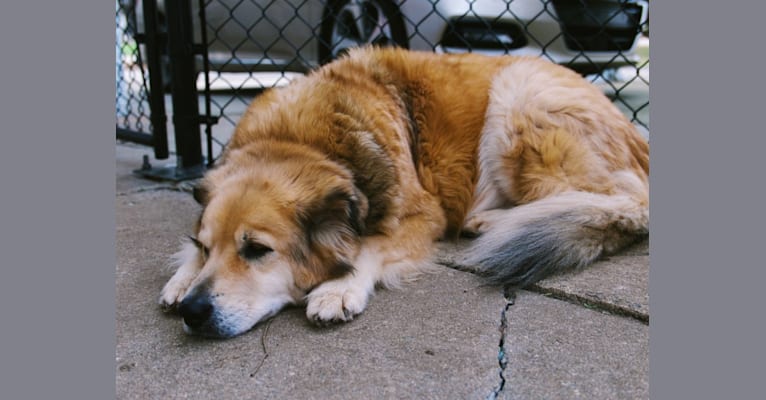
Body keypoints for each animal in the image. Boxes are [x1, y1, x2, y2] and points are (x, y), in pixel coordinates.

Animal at [159, 48, 652, 340]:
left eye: (258, 250)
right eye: (205, 246)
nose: (193, 313)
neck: (299, 141)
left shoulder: (423, 215)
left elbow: (370, 244)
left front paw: (338, 287)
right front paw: (182, 278)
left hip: (519, 100)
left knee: (612, 198)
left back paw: (496, 221)